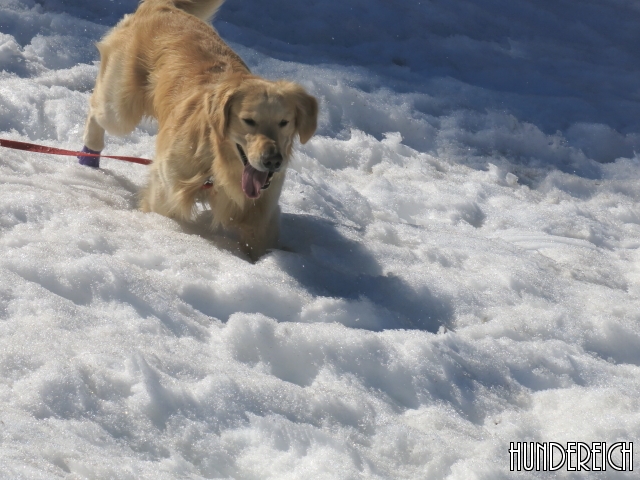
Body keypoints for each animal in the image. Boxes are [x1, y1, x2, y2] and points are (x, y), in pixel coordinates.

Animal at [79, 0, 318, 258]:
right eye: (248, 120)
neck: (217, 164)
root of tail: (161, 6)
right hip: (120, 109)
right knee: (95, 111)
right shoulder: (166, 193)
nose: (273, 160)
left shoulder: (261, 214)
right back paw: (88, 156)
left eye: (284, 122)